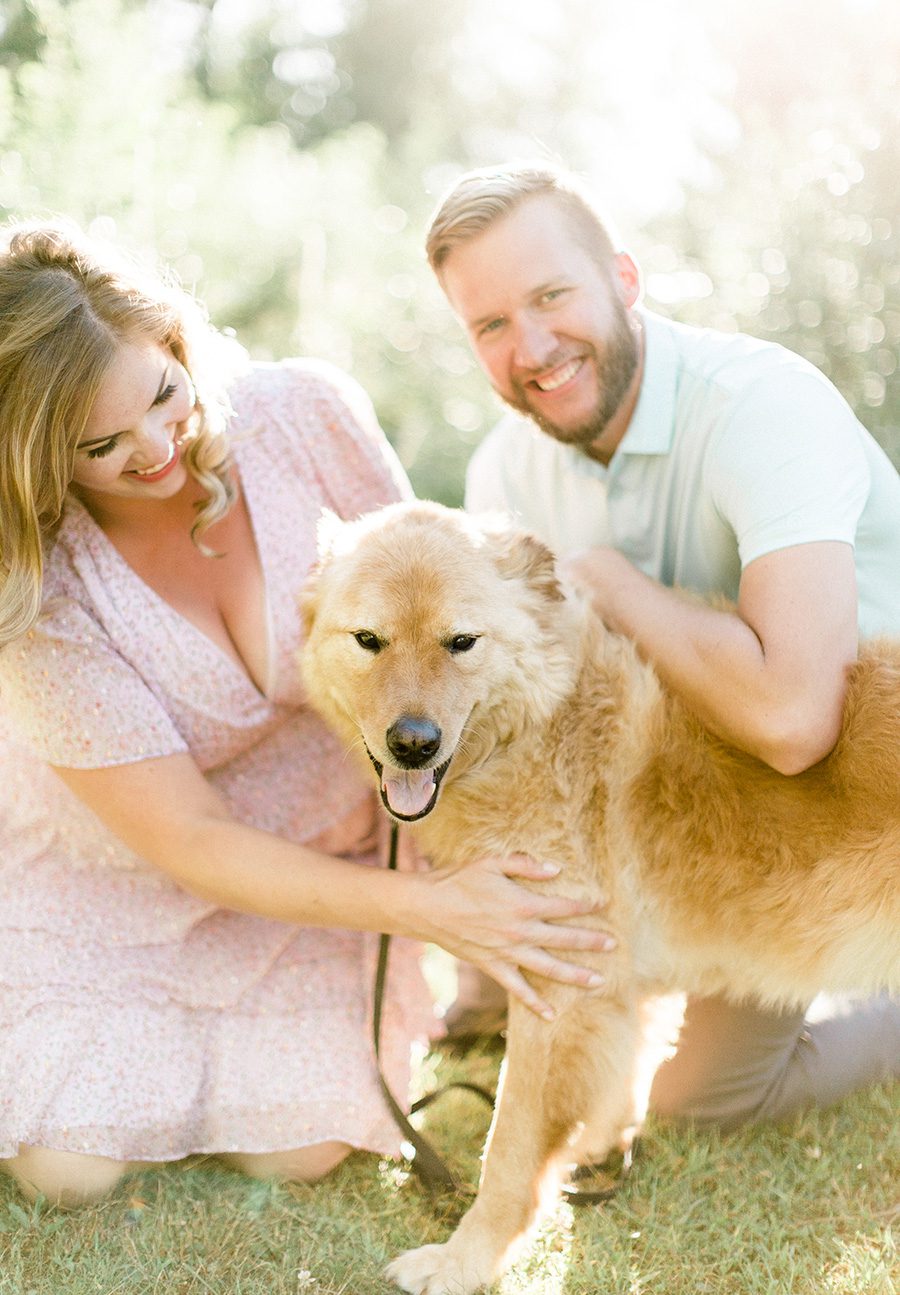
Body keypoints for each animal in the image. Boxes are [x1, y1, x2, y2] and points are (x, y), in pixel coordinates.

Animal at [303, 499, 900, 1295]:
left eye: (461, 642)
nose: (414, 744)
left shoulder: (559, 991)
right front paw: (593, 1155)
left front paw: (467, 1258)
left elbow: (509, 1146)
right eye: (369, 640)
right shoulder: (613, 988)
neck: (539, 722)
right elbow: (611, 1085)